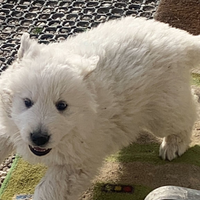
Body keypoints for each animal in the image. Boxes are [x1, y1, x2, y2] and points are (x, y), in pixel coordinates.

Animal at [0, 16, 199, 198]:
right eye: (27, 101)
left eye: (62, 105)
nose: (39, 138)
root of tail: (179, 39)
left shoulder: (76, 163)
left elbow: (50, 189)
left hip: (163, 106)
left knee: (188, 110)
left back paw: (174, 144)